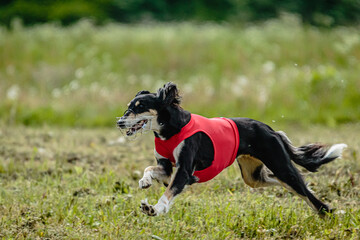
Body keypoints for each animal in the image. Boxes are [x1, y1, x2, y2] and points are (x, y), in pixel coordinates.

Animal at [116, 82, 348, 218]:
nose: (119, 122)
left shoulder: (184, 171)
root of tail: (270, 129)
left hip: (281, 165)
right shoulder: (166, 168)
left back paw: (330, 214)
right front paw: (145, 181)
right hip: (252, 177)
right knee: (282, 183)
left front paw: (155, 209)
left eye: (139, 107)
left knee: (305, 192)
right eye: (129, 106)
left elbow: (169, 191)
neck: (171, 129)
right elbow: (150, 169)